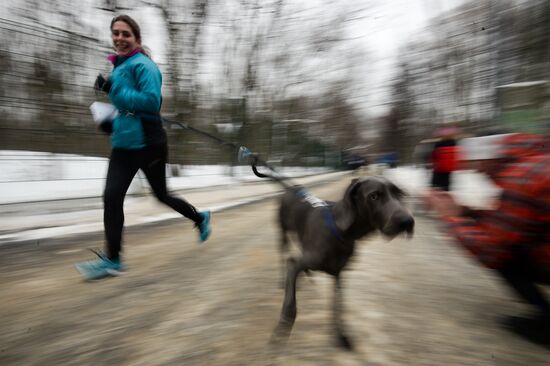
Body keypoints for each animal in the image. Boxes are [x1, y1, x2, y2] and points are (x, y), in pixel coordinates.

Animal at [270, 176, 416, 350]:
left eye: (400, 194)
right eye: (374, 196)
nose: (407, 222)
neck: (341, 232)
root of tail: (291, 188)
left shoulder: (338, 274)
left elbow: (337, 306)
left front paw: (340, 336)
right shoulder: (296, 263)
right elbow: (291, 300)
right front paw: (284, 324)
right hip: (283, 232)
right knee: (282, 255)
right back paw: (283, 280)